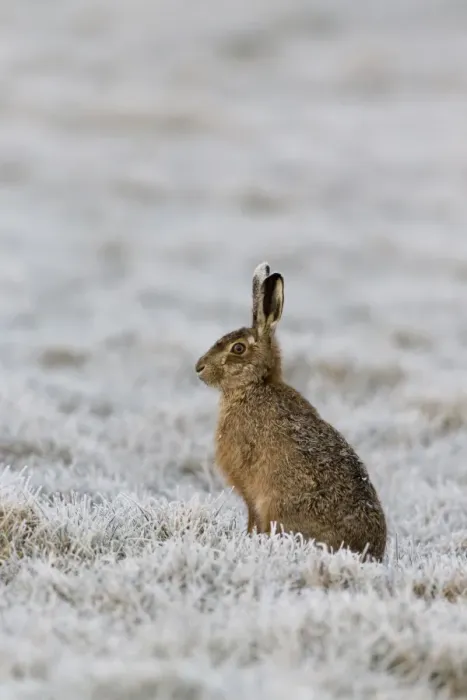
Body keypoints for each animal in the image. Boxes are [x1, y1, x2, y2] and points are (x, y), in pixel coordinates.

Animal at [195, 262, 387, 561]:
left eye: (238, 348)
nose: (199, 368)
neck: (255, 386)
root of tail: (367, 552)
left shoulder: (251, 490)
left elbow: (252, 518)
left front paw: (249, 539)